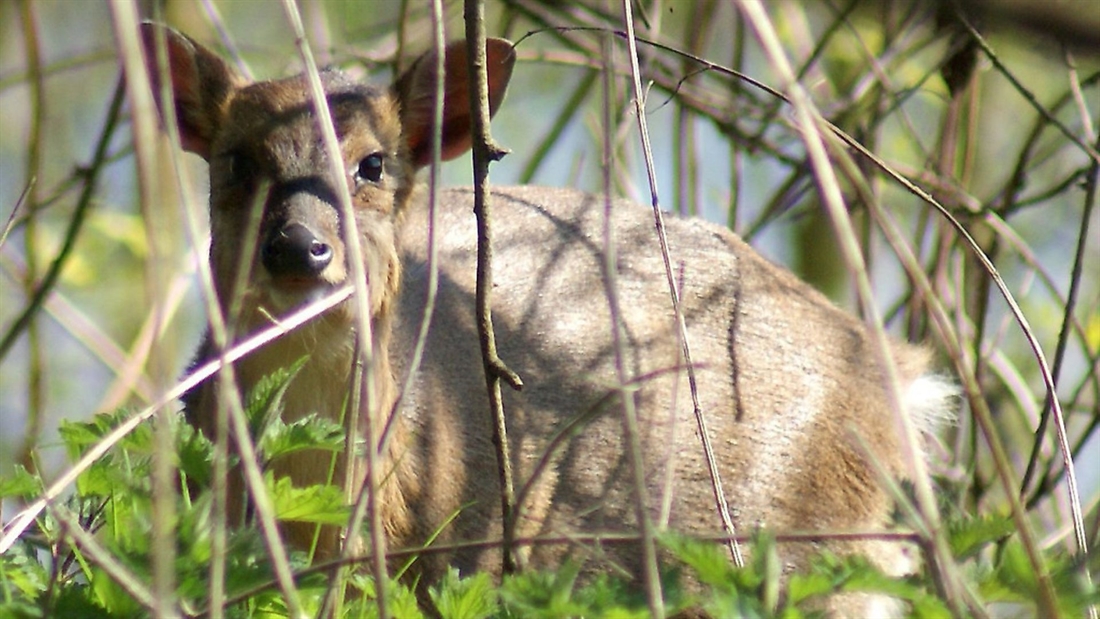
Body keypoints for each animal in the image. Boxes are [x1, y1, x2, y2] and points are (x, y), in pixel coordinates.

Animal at [144, 22, 954, 615]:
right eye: (237, 161)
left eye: (373, 164)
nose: (299, 248)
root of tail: (898, 378)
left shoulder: (468, 556)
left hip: (814, 552)